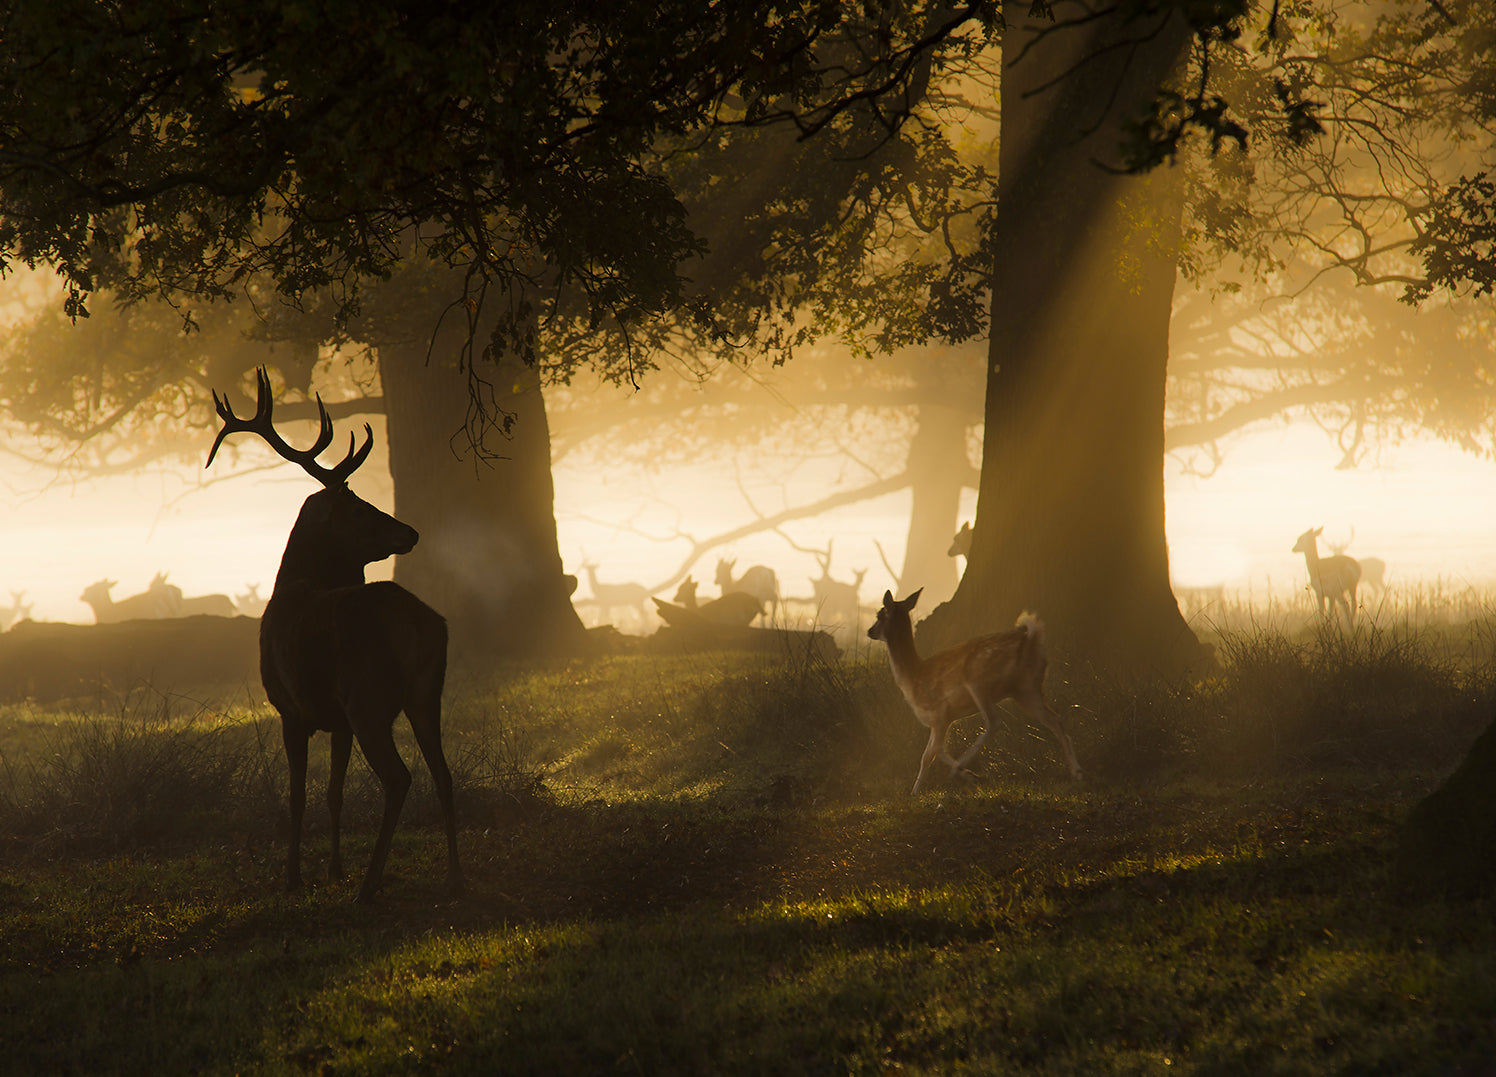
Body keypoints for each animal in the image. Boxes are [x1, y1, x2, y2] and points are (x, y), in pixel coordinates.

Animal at [206, 367, 459, 904]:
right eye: (360, 509)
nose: (410, 532)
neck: (296, 584)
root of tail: (421, 624)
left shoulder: (291, 708)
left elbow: (299, 795)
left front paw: (294, 877)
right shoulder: (335, 720)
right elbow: (334, 791)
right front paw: (335, 868)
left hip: (368, 697)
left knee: (400, 777)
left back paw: (371, 885)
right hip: (426, 692)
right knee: (443, 773)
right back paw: (454, 876)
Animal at [868, 589, 1081, 794]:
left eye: (880, 614)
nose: (870, 631)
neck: (911, 678)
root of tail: (1030, 639)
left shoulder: (939, 713)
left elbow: (930, 754)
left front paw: (919, 790)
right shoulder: (944, 719)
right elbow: (935, 752)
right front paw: (965, 776)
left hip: (979, 682)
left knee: (995, 721)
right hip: (1027, 689)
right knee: (1055, 720)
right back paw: (1077, 773)